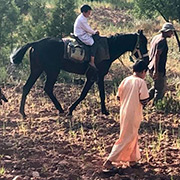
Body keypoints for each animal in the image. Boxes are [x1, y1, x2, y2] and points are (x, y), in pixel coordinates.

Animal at [10, 29, 149, 118]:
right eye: (143, 42)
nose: (147, 60)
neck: (108, 48)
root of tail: (36, 43)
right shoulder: (94, 76)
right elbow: (85, 94)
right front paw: (71, 110)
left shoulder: (97, 77)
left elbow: (100, 94)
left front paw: (104, 111)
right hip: (52, 70)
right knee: (47, 88)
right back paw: (60, 109)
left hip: (37, 69)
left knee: (27, 87)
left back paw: (23, 113)